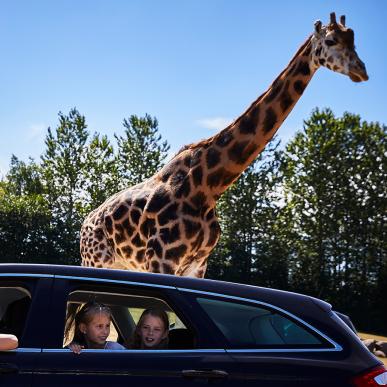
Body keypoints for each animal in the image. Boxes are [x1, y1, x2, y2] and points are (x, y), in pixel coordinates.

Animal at [80, 12, 368, 278]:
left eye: (353, 40)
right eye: (330, 40)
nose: (361, 71)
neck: (209, 188)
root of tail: (84, 224)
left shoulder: (197, 264)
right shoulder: (161, 259)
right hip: (96, 260)